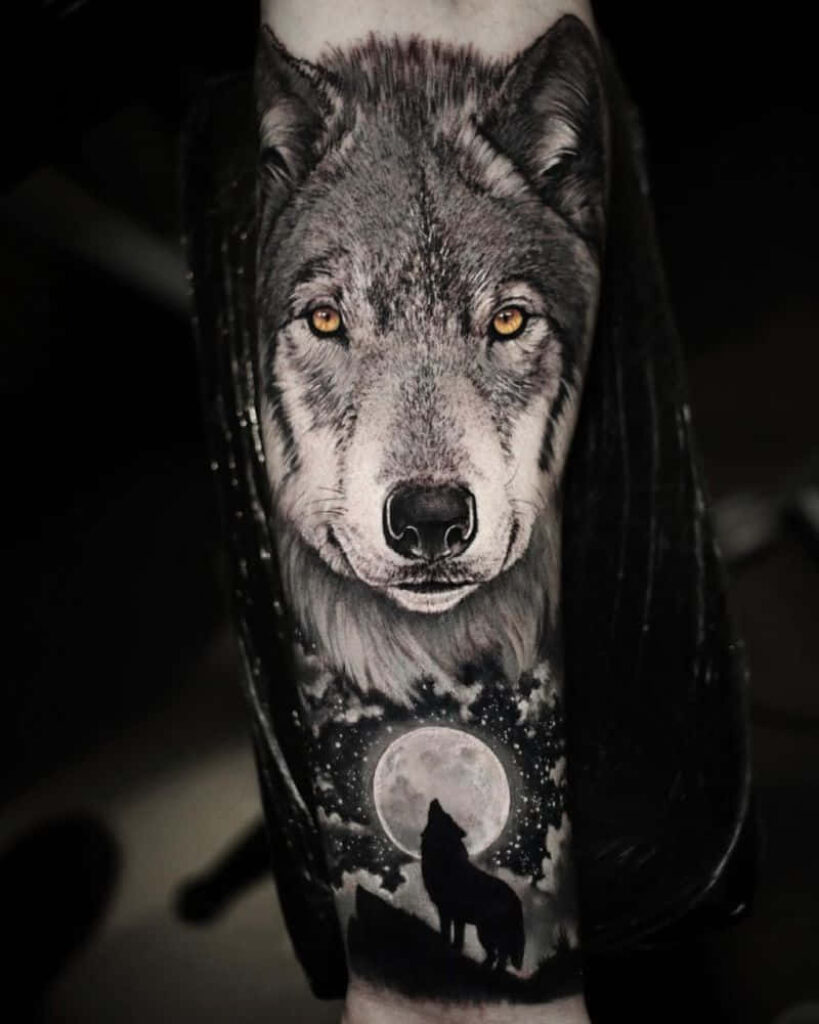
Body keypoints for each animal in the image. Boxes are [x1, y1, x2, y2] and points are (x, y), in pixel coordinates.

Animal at [421, 799, 524, 971]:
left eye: (446, 815)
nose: (435, 800)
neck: (443, 851)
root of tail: (517, 901)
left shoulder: (446, 911)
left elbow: (446, 935)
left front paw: (444, 951)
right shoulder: (457, 917)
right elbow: (456, 940)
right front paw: (453, 953)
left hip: (485, 933)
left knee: (499, 956)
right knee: (497, 957)